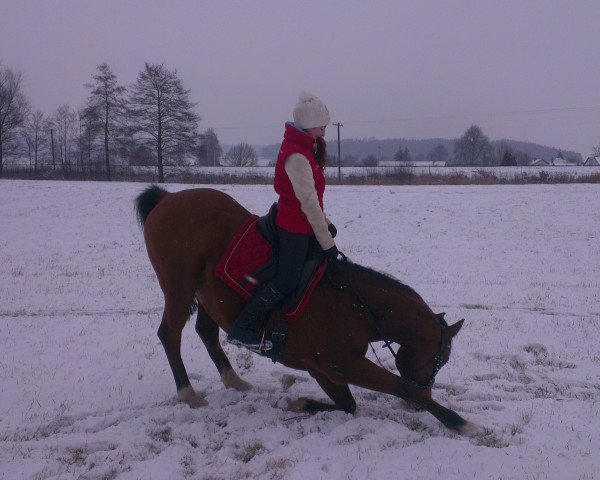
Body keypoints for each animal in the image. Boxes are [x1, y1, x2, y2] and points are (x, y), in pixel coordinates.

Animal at [134, 186, 476, 434]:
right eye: (440, 360)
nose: (422, 403)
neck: (357, 305)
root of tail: (169, 198)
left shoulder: (322, 369)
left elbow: (349, 405)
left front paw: (300, 403)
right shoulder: (342, 363)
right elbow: (401, 386)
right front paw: (460, 423)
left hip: (208, 296)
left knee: (206, 332)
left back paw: (235, 381)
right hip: (179, 287)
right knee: (169, 334)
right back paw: (188, 393)